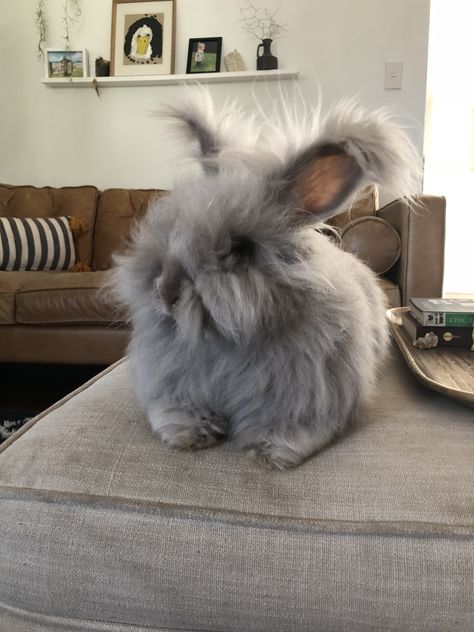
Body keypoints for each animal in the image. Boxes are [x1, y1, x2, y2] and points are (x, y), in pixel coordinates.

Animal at [113, 91, 420, 472]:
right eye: (169, 227)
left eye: (240, 247)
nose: (165, 292)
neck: (224, 341)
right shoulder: (175, 385)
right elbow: (175, 411)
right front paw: (188, 436)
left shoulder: (305, 393)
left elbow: (288, 427)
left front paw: (269, 453)